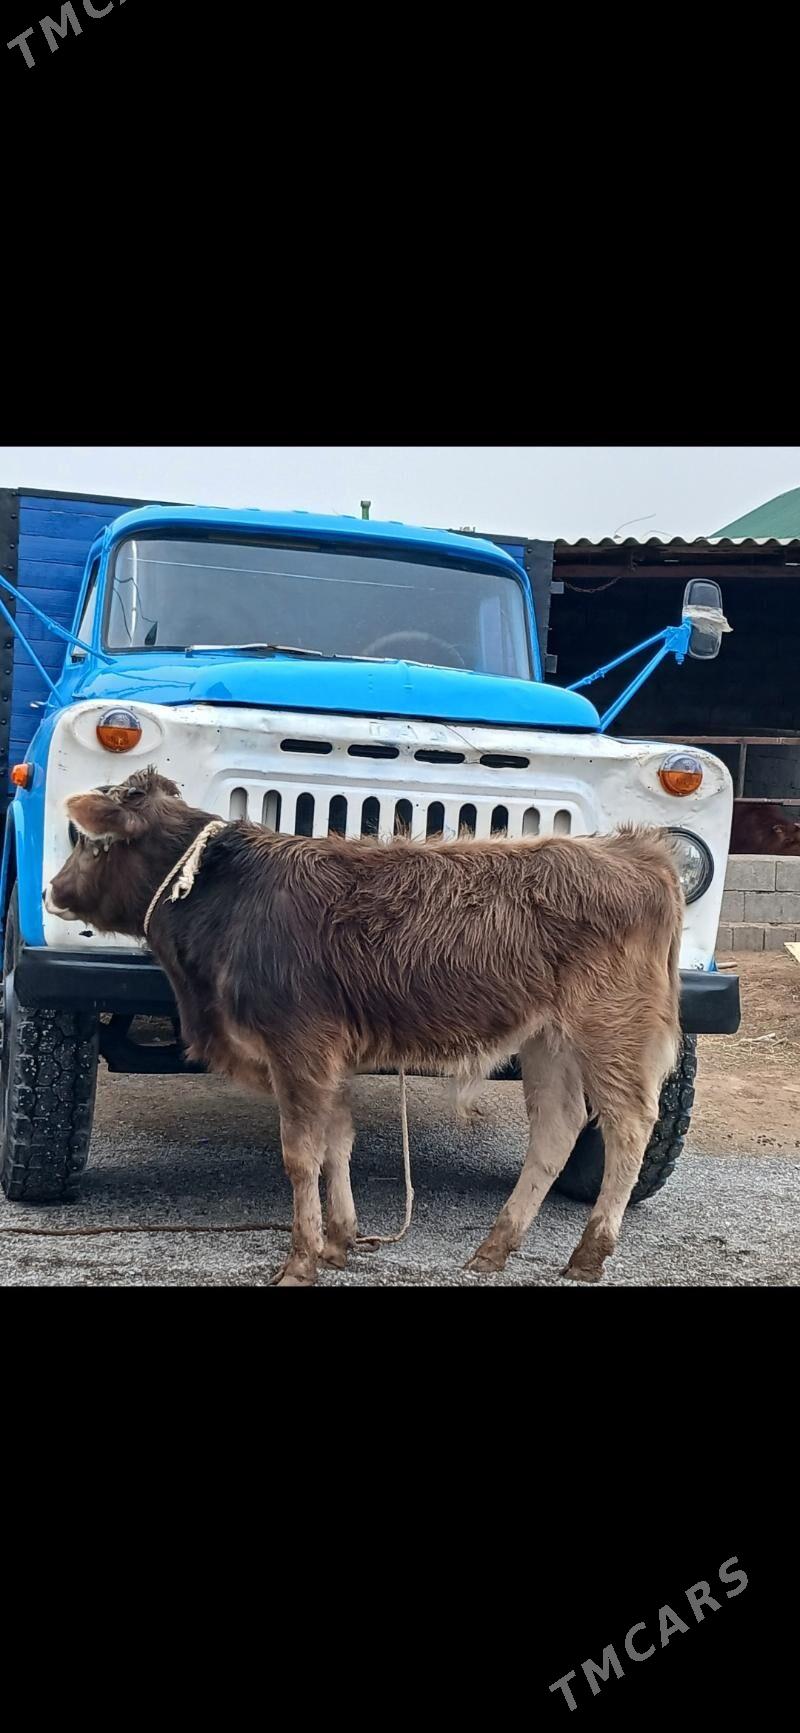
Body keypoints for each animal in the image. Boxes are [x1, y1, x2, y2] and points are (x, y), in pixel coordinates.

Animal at [45, 767, 685, 1288]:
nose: (52, 890)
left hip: (611, 1029)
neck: (228, 897)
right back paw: (495, 1248)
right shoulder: (326, 1058)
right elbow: (337, 1142)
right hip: (548, 1040)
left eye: (91, 842)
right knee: (558, 1127)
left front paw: (301, 1259)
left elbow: (301, 1154)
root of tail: (633, 851)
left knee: (629, 1126)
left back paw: (589, 1254)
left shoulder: (299, 1049)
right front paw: (340, 1241)